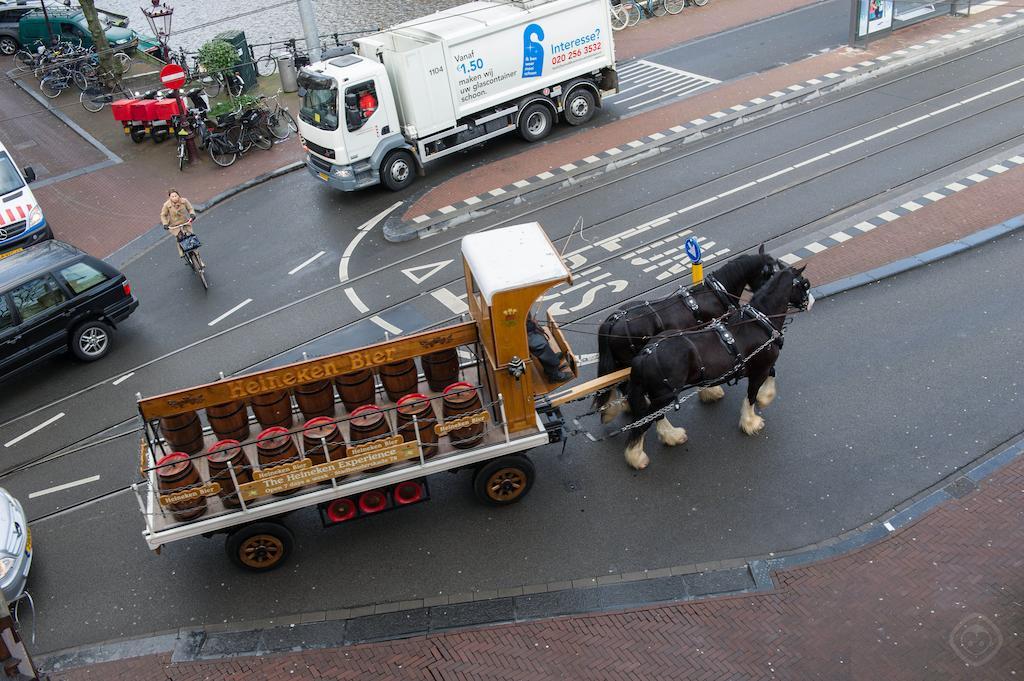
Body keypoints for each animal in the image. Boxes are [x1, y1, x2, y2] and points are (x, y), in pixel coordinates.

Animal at [618, 264, 811, 466]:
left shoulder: (762, 366)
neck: (759, 321)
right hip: (664, 395)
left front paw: (765, 397)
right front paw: (751, 422)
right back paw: (637, 456)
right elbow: (751, 396)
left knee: (655, 416)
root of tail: (645, 354)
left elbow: (771, 375)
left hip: (658, 396)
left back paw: (670, 435)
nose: (810, 302)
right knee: (644, 421)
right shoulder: (760, 370)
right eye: (805, 284)